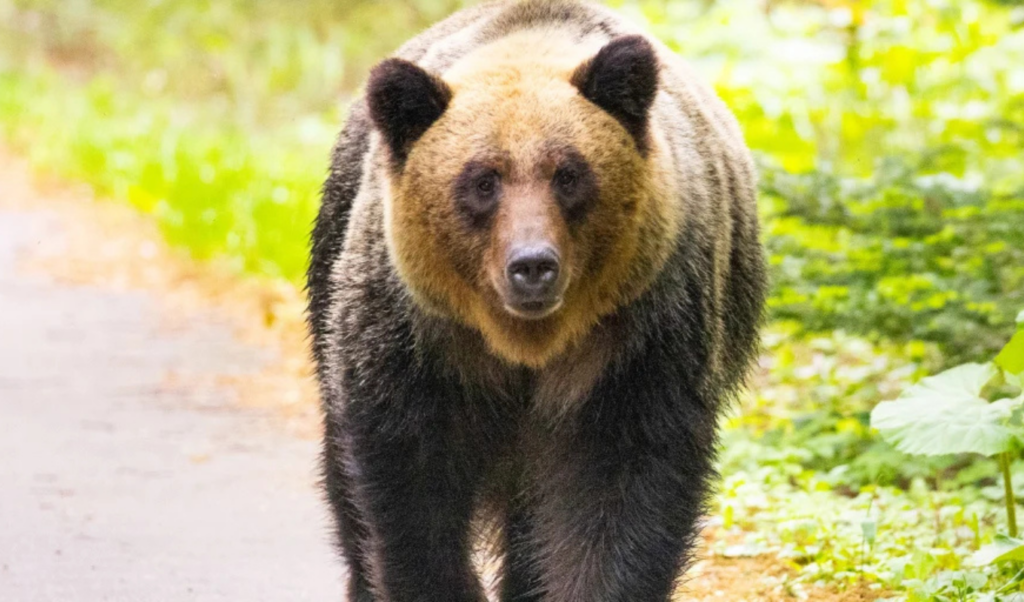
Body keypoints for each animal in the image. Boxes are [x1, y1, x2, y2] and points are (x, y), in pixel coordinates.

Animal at [306, 1, 767, 601]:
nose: (532, 266)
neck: (527, 345)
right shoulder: (416, 339)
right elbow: (410, 491)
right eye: (483, 180)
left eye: (569, 174)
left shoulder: (639, 337)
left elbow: (621, 491)